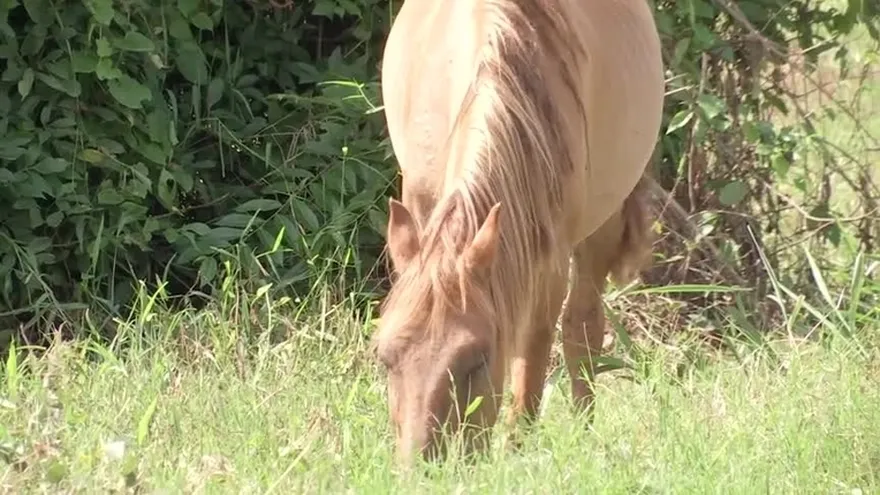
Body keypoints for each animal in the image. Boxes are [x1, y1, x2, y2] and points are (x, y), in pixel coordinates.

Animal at [374, 0, 665, 465]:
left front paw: (516, 451)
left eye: (477, 359)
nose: (423, 465)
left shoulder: (549, 258)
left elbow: (532, 356)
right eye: (385, 357)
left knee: (582, 325)